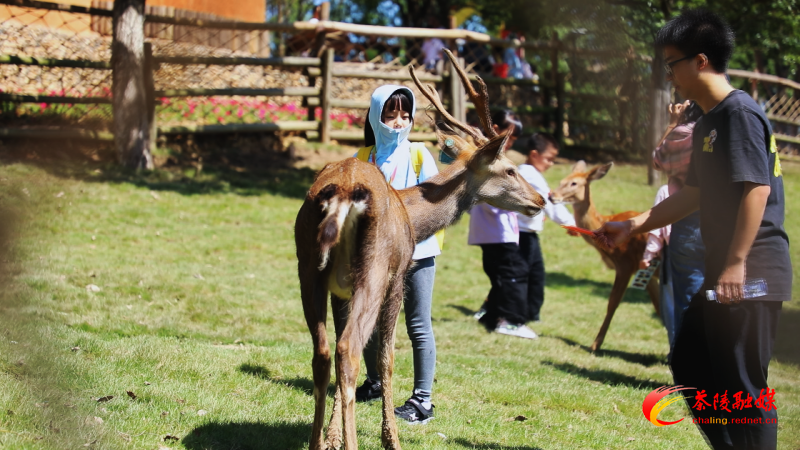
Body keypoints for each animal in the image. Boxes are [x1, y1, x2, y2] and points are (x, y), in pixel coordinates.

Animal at [296, 50, 548, 450]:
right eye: (510, 169)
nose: (540, 200)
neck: (411, 214)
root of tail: (345, 191)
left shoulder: (339, 289)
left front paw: (332, 436)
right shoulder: (397, 278)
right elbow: (386, 358)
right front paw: (388, 439)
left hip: (308, 266)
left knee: (323, 353)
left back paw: (316, 442)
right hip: (374, 269)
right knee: (348, 351)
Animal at [552, 161, 660, 352]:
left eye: (574, 183)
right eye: (561, 181)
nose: (552, 195)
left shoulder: (625, 264)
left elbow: (613, 302)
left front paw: (595, 344)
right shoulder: (645, 273)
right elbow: (660, 308)